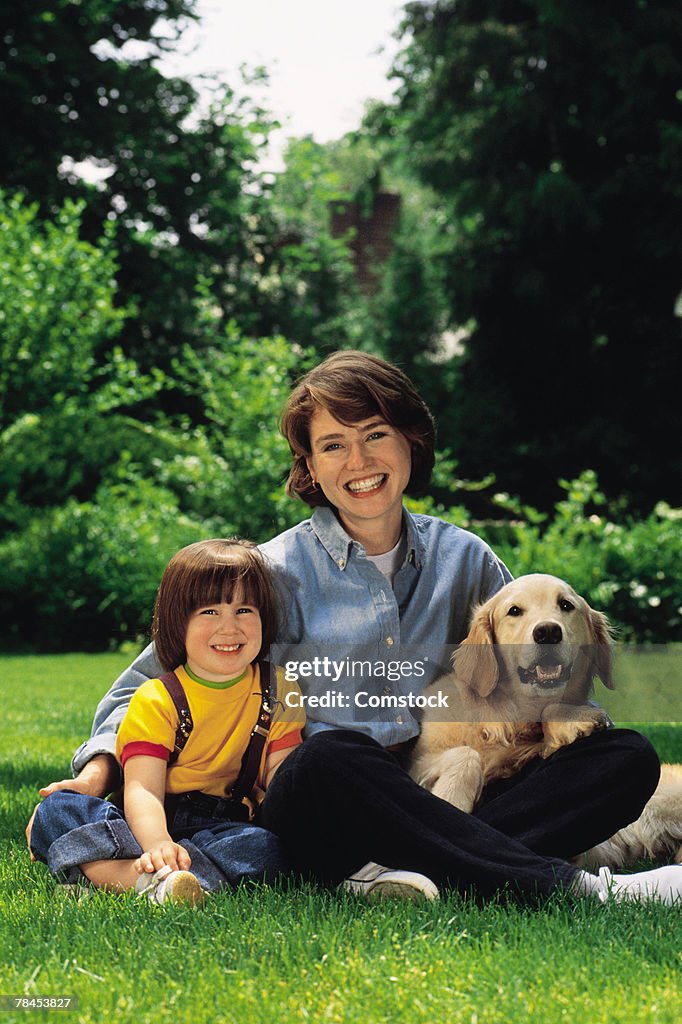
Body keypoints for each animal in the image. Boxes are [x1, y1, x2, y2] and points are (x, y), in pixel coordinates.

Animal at [409, 573, 610, 811]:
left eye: (565, 605)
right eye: (514, 610)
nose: (548, 632)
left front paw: (574, 719)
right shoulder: (417, 761)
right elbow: (466, 754)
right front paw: (451, 799)